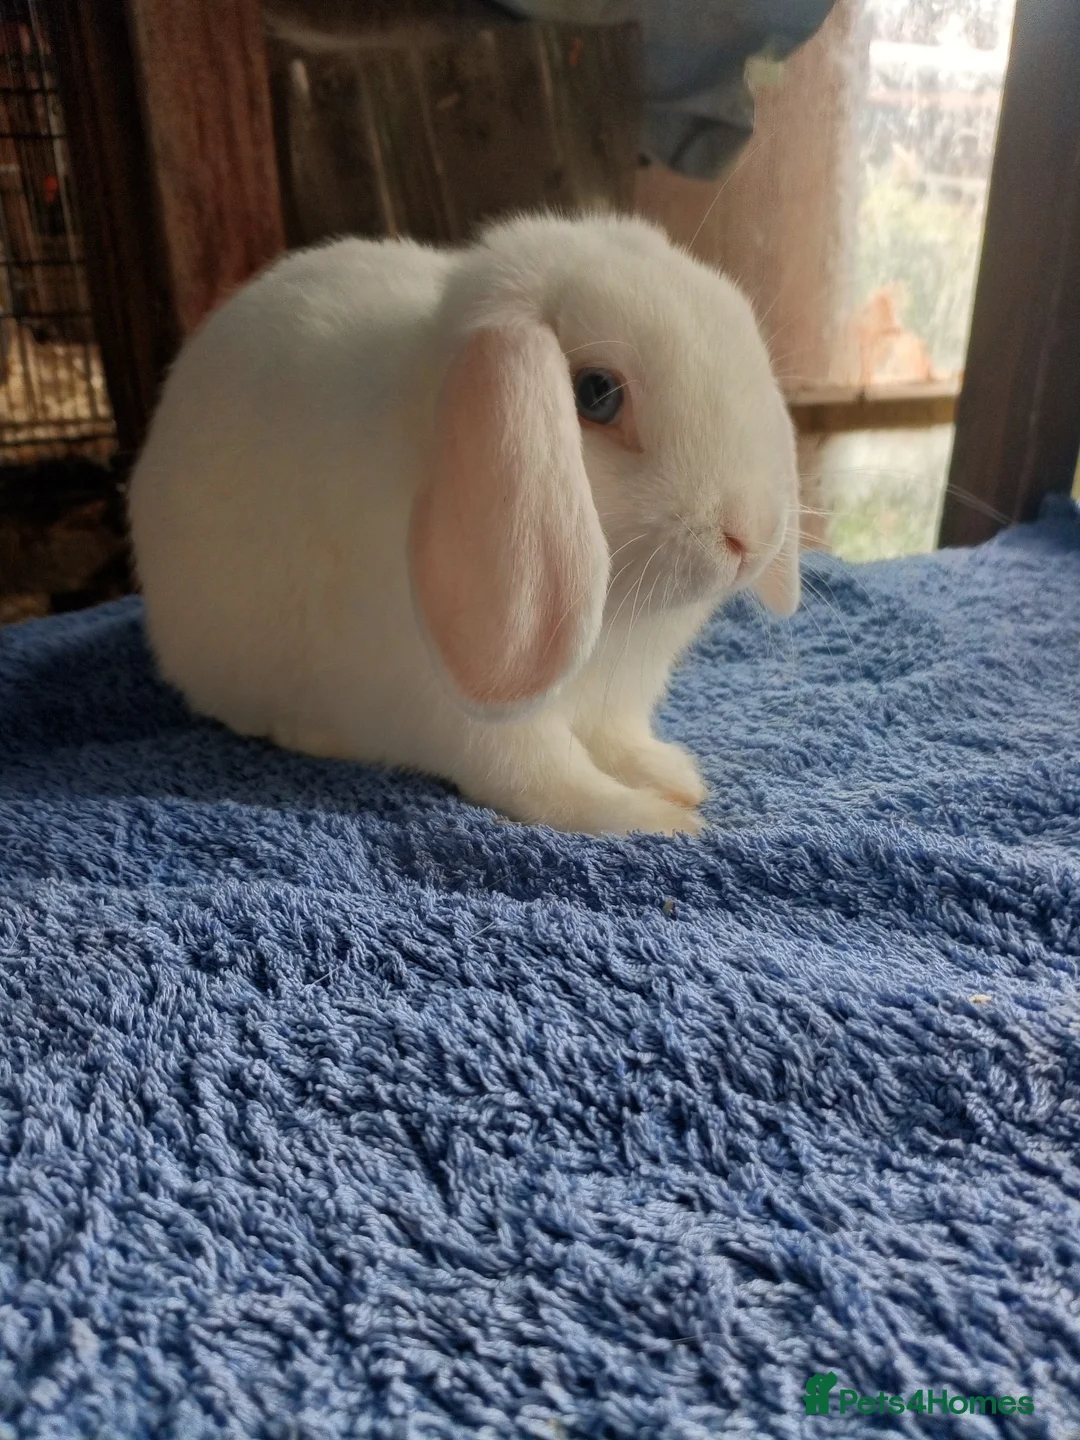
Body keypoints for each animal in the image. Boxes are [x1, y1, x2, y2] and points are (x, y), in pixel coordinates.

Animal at [127, 212, 801, 836]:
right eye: (597, 393)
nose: (748, 536)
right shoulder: (483, 726)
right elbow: (549, 782)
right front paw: (657, 819)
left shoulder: (620, 701)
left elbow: (621, 743)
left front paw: (675, 777)